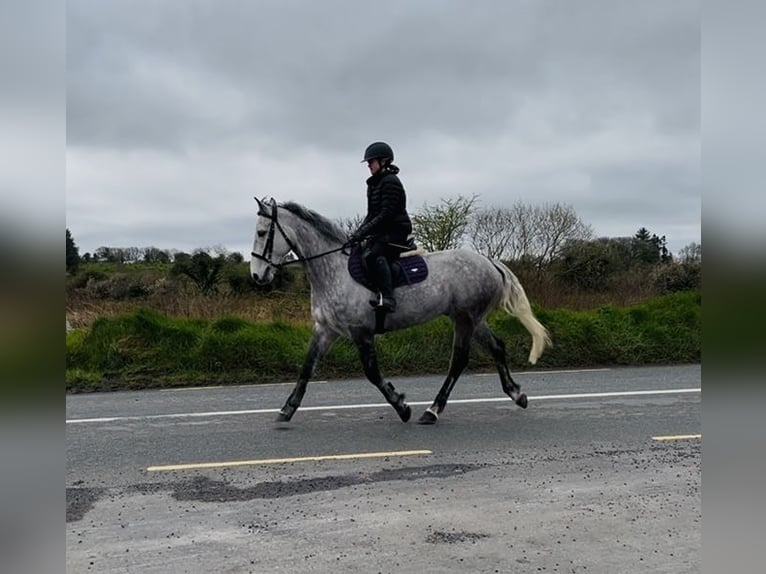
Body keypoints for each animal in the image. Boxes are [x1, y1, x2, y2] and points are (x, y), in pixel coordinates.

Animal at [249, 197, 551, 424]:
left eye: (262, 233)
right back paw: (517, 395)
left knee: (458, 360)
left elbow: (372, 373)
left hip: (466, 319)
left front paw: (401, 406)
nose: (257, 275)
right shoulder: (325, 330)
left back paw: (432, 410)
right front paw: (287, 409)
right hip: (472, 319)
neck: (333, 270)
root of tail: (489, 262)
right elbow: (307, 368)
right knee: (497, 348)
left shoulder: (361, 331)